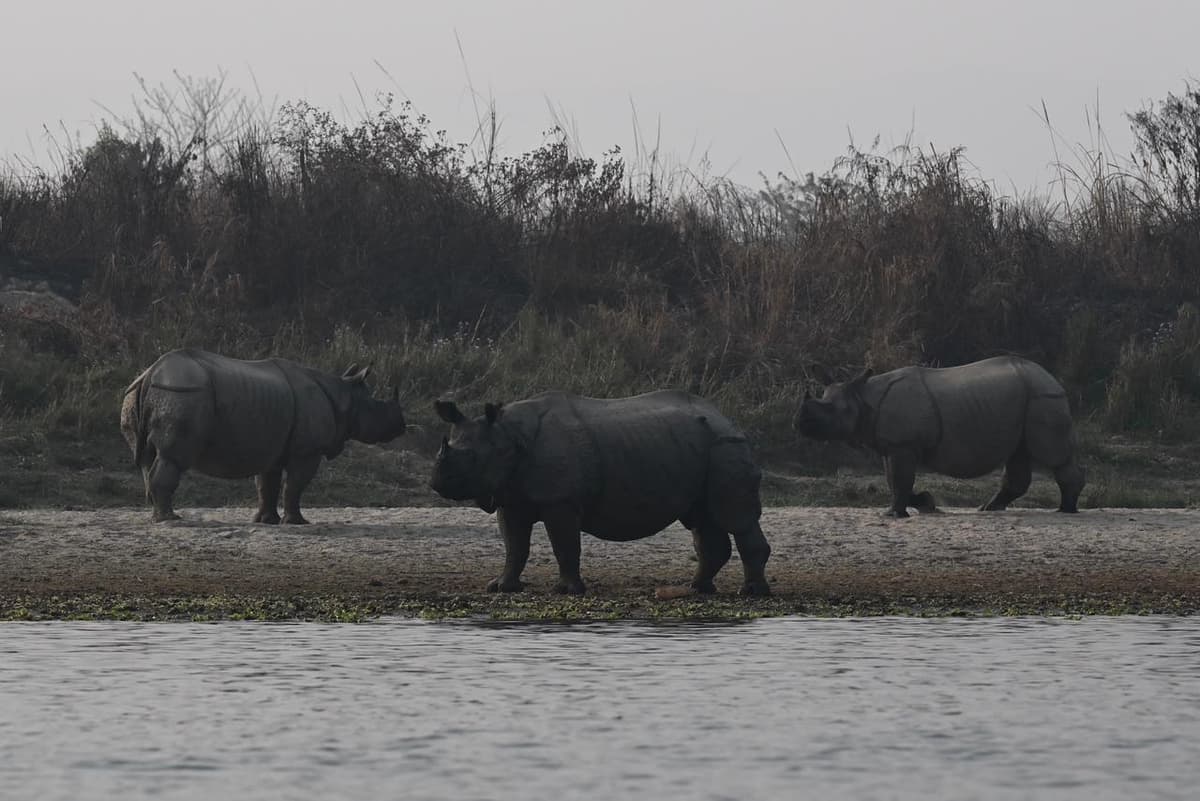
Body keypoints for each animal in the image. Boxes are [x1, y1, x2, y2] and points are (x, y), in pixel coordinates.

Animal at [120, 348, 407, 523]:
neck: (345, 394)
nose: (401, 426)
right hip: (183, 394)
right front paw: (298, 522)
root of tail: (150, 373)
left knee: (147, 458)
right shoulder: (307, 451)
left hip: (140, 394)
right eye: (377, 408)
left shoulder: (271, 444)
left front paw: (267, 521)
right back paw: (170, 519)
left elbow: (267, 484)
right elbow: (295, 485)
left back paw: (158, 515)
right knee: (173, 458)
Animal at [429, 390, 772, 596]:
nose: (437, 482)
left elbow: (565, 545)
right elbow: (514, 546)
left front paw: (567, 590)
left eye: (472, 458)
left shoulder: (561, 501)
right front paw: (501, 587)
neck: (507, 435)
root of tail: (728, 419)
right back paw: (698, 588)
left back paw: (749, 592)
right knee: (703, 518)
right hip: (703, 448)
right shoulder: (510, 498)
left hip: (725, 446)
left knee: (734, 517)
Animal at [796, 355, 1085, 517]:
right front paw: (926, 504)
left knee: (1053, 455)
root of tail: (1052, 378)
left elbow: (899, 480)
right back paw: (989, 508)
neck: (862, 397)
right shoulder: (891, 445)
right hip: (1028, 398)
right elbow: (893, 480)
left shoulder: (903, 445)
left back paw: (1066, 509)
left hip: (1043, 397)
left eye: (833, 411)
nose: (799, 423)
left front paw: (893, 515)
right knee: (1019, 454)